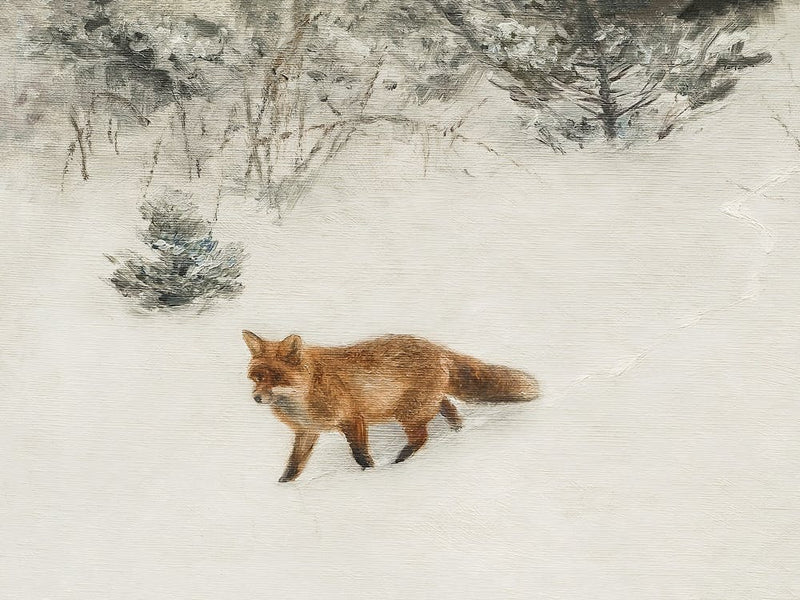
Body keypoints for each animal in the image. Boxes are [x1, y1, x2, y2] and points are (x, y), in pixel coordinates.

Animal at [242, 331, 539, 482]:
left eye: (276, 378)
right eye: (257, 377)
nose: (256, 398)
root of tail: (437, 348)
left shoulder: (353, 419)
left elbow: (361, 456)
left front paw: (371, 476)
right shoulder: (307, 432)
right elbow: (293, 466)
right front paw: (283, 488)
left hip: (408, 413)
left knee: (421, 437)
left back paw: (399, 462)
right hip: (421, 405)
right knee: (448, 407)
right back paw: (457, 433)